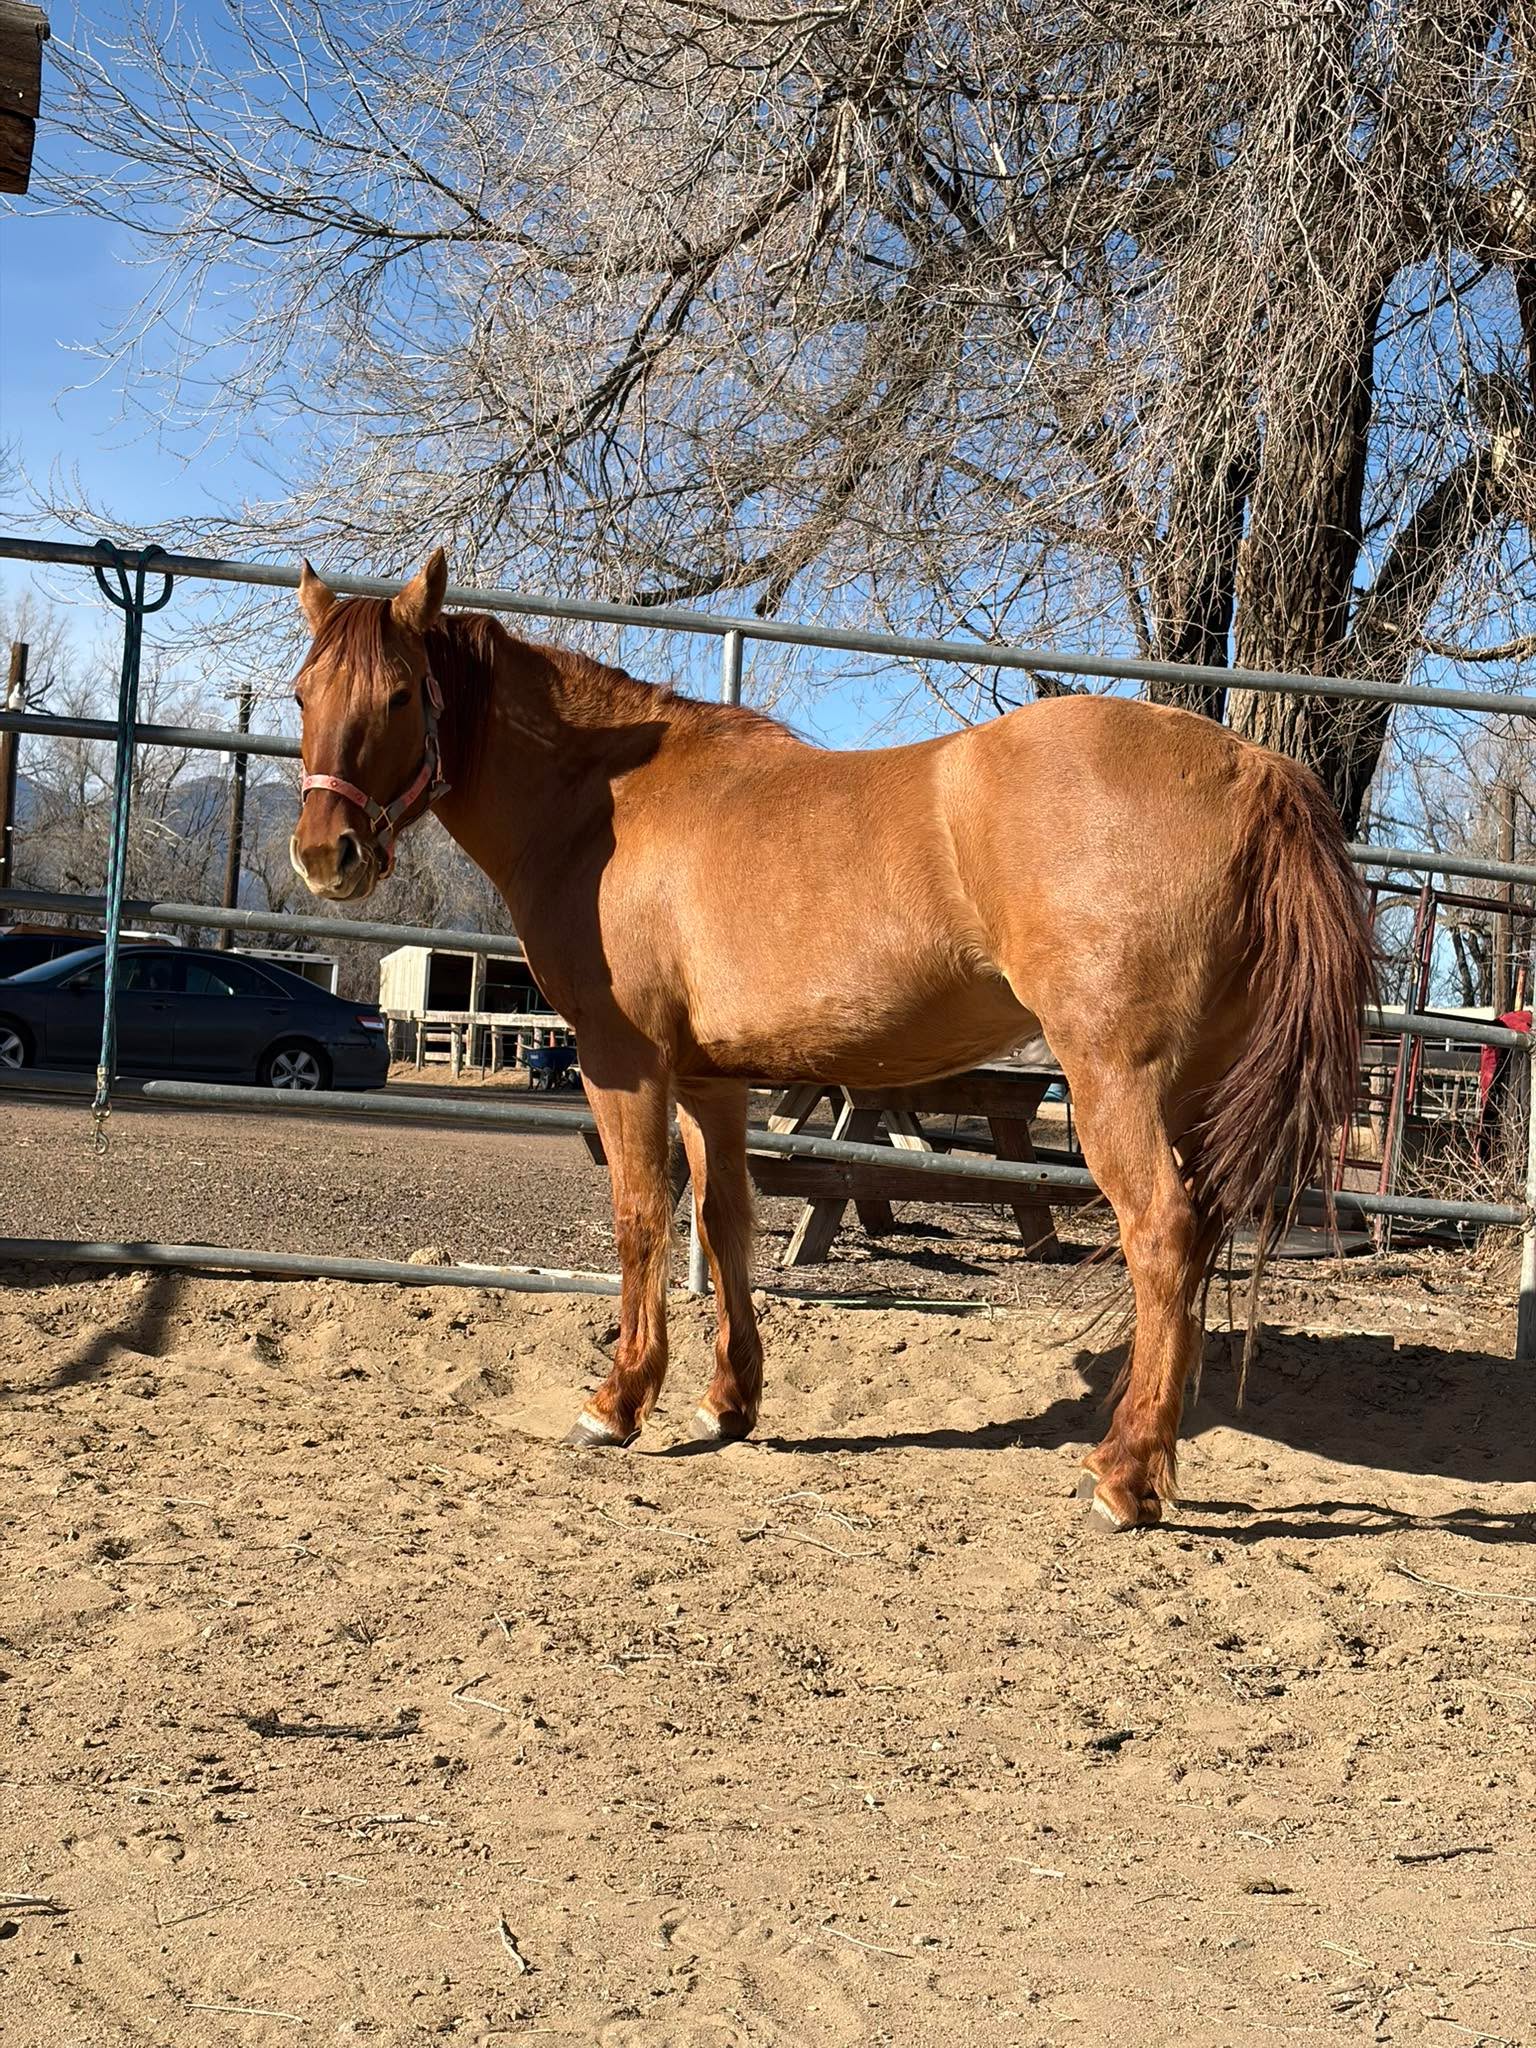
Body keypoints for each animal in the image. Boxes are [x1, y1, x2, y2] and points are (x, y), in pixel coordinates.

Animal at [288, 551, 1375, 1532]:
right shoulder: (711, 1081)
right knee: (1198, 1246)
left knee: (1163, 1235)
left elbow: (641, 1218)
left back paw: (1124, 1478)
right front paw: (729, 1402)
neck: (604, 806)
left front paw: (617, 1403)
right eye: (303, 692)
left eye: (398, 694)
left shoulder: (622, 1062)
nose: (323, 855)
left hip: (1116, 1080)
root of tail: (1252, 769)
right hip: (1195, 1090)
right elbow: (721, 1221)